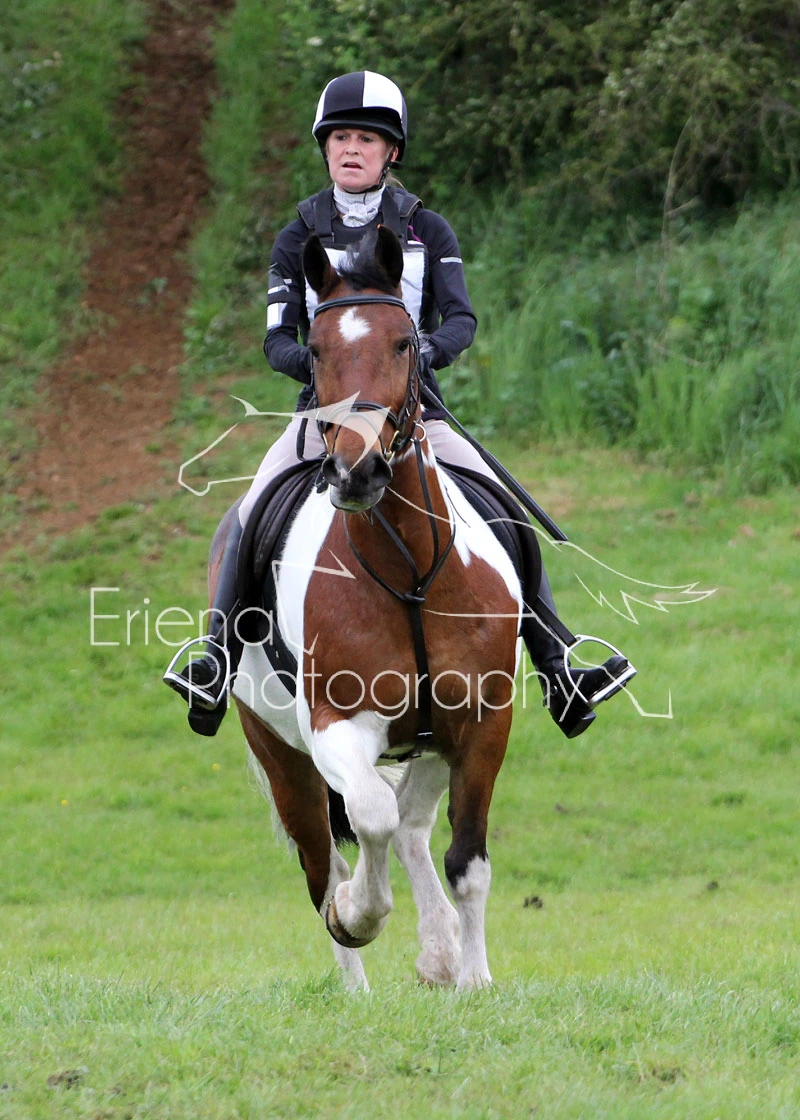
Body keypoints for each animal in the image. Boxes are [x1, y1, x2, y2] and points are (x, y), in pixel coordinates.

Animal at [223, 227, 522, 990]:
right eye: (317, 349)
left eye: (404, 343)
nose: (357, 472)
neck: (408, 571)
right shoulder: (334, 725)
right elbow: (368, 818)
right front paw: (360, 915)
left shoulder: (481, 724)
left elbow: (465, 861)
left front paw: (475, 980)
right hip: (282, 757)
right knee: (324, 861)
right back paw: (356, 982)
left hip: (432, 741)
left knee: (412, 826)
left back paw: (441, 952)